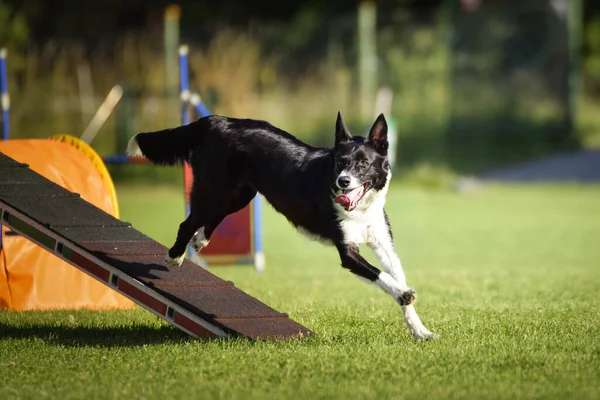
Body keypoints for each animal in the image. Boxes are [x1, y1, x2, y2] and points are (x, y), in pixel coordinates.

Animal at [126, 112, 436, 340]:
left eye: (363, 163)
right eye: (340, 162)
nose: (342, 182)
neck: (361, 211)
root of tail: (217, 120)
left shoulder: (384, 244)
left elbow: (396, 276)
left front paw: (420, 330)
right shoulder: (348, 252)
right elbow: (384, 279)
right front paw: (404, 294)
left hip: (238, 195)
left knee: (210, 218)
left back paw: (200, 240)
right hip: (212, 190)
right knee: (187, 221)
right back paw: (175, 255)